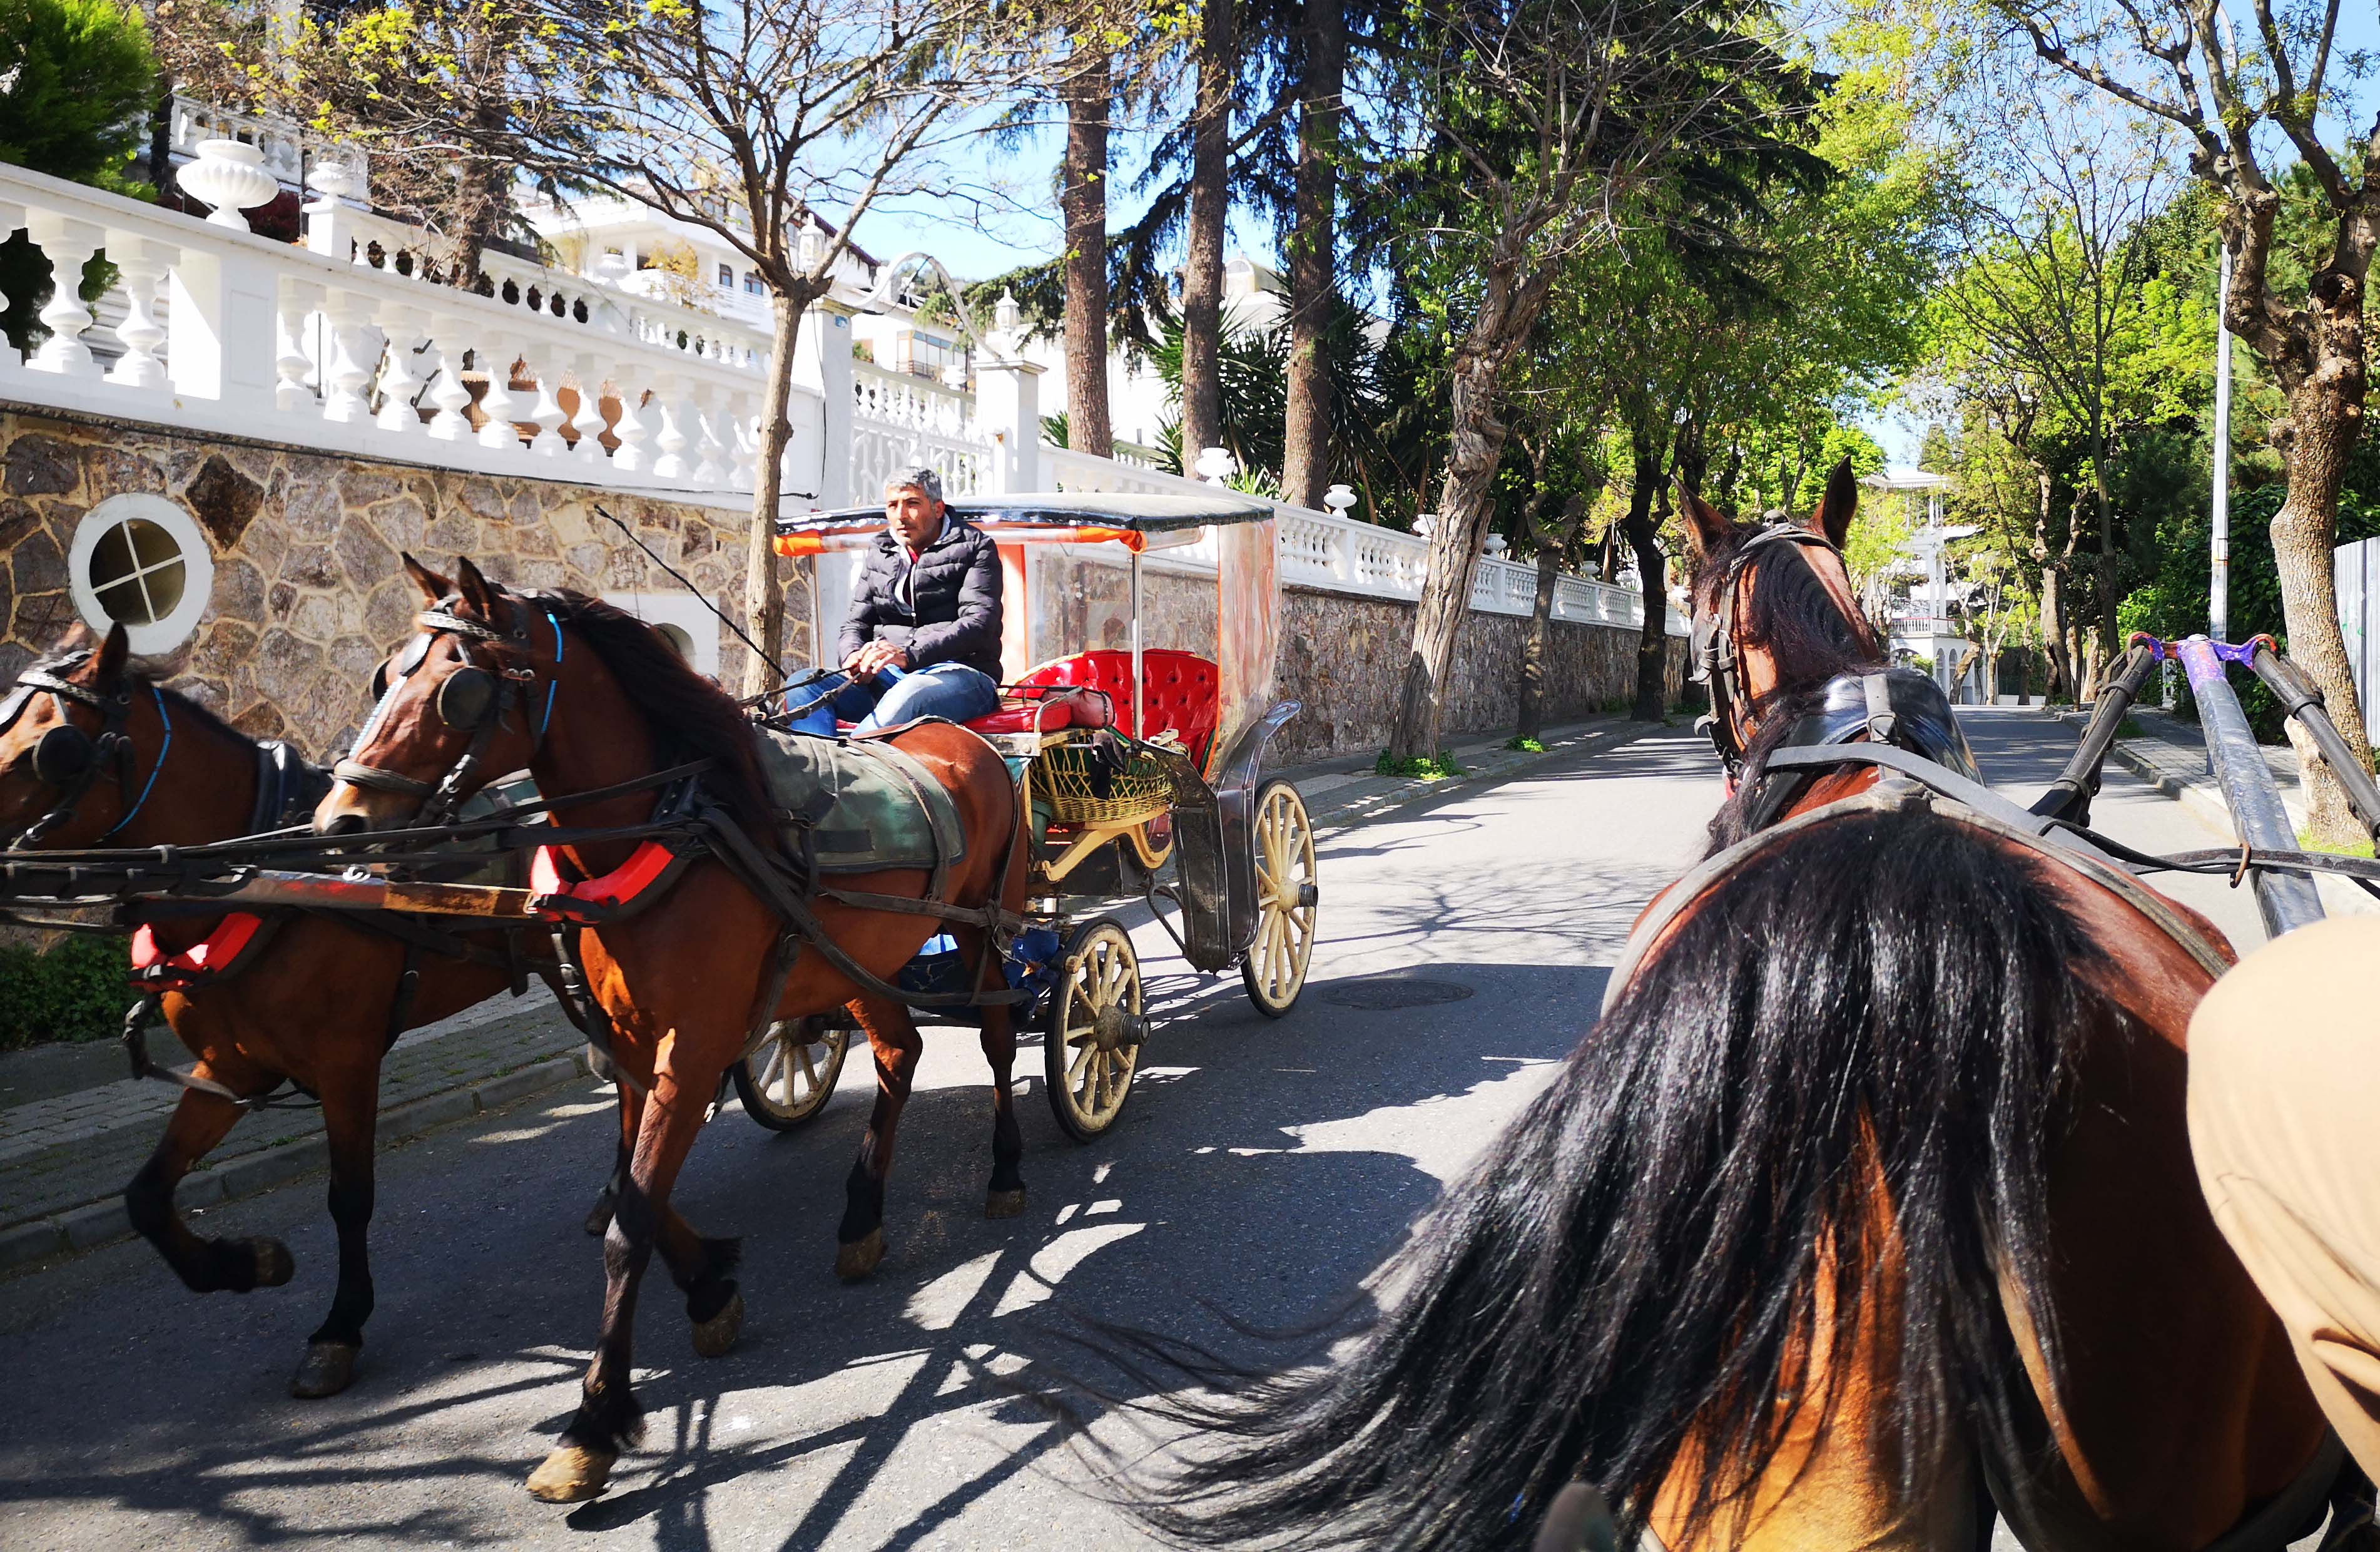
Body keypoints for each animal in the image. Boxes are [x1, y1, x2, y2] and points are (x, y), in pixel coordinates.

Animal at [0, 623, 566, 1399]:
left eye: (47, 749)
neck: (265, 880)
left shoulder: (345, 1060)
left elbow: (349, 1195)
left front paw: (339, 1327)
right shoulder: (233, 1065)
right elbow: (146, 1195)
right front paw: (248, 1262)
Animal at [314, 557, 1023, 1504]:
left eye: (457, 691)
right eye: (385, 674)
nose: (339, 823)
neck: (679, 826)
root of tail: (960, 735)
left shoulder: (690, 1050)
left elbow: (630, 1225)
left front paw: (593, 1424)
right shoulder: (629, 1044)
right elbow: (634, 1191)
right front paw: (710, 1288)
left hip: (989, 922)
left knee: (998, 1039)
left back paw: (1007, 1170)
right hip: (858, 955)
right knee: (898, 1054)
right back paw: (862, 1216)